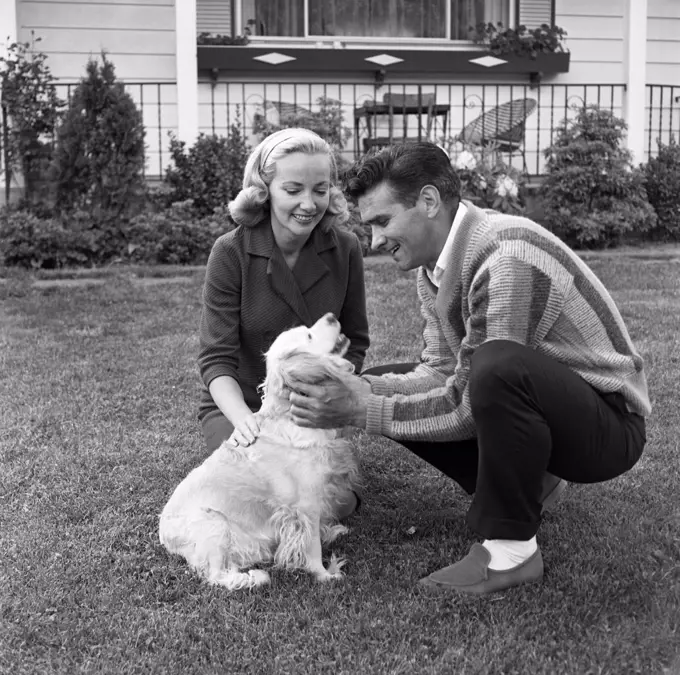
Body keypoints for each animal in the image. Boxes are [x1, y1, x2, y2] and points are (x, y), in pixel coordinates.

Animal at [159, 314, 362, 588]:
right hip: (215, 525)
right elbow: (311, 547)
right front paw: (325, 574)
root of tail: (163, 536)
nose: (331, 316)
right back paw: (253, 578)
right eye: (309, 335)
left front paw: (330, 531)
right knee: (216, 576)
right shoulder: (305, 505)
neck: (288, 415)